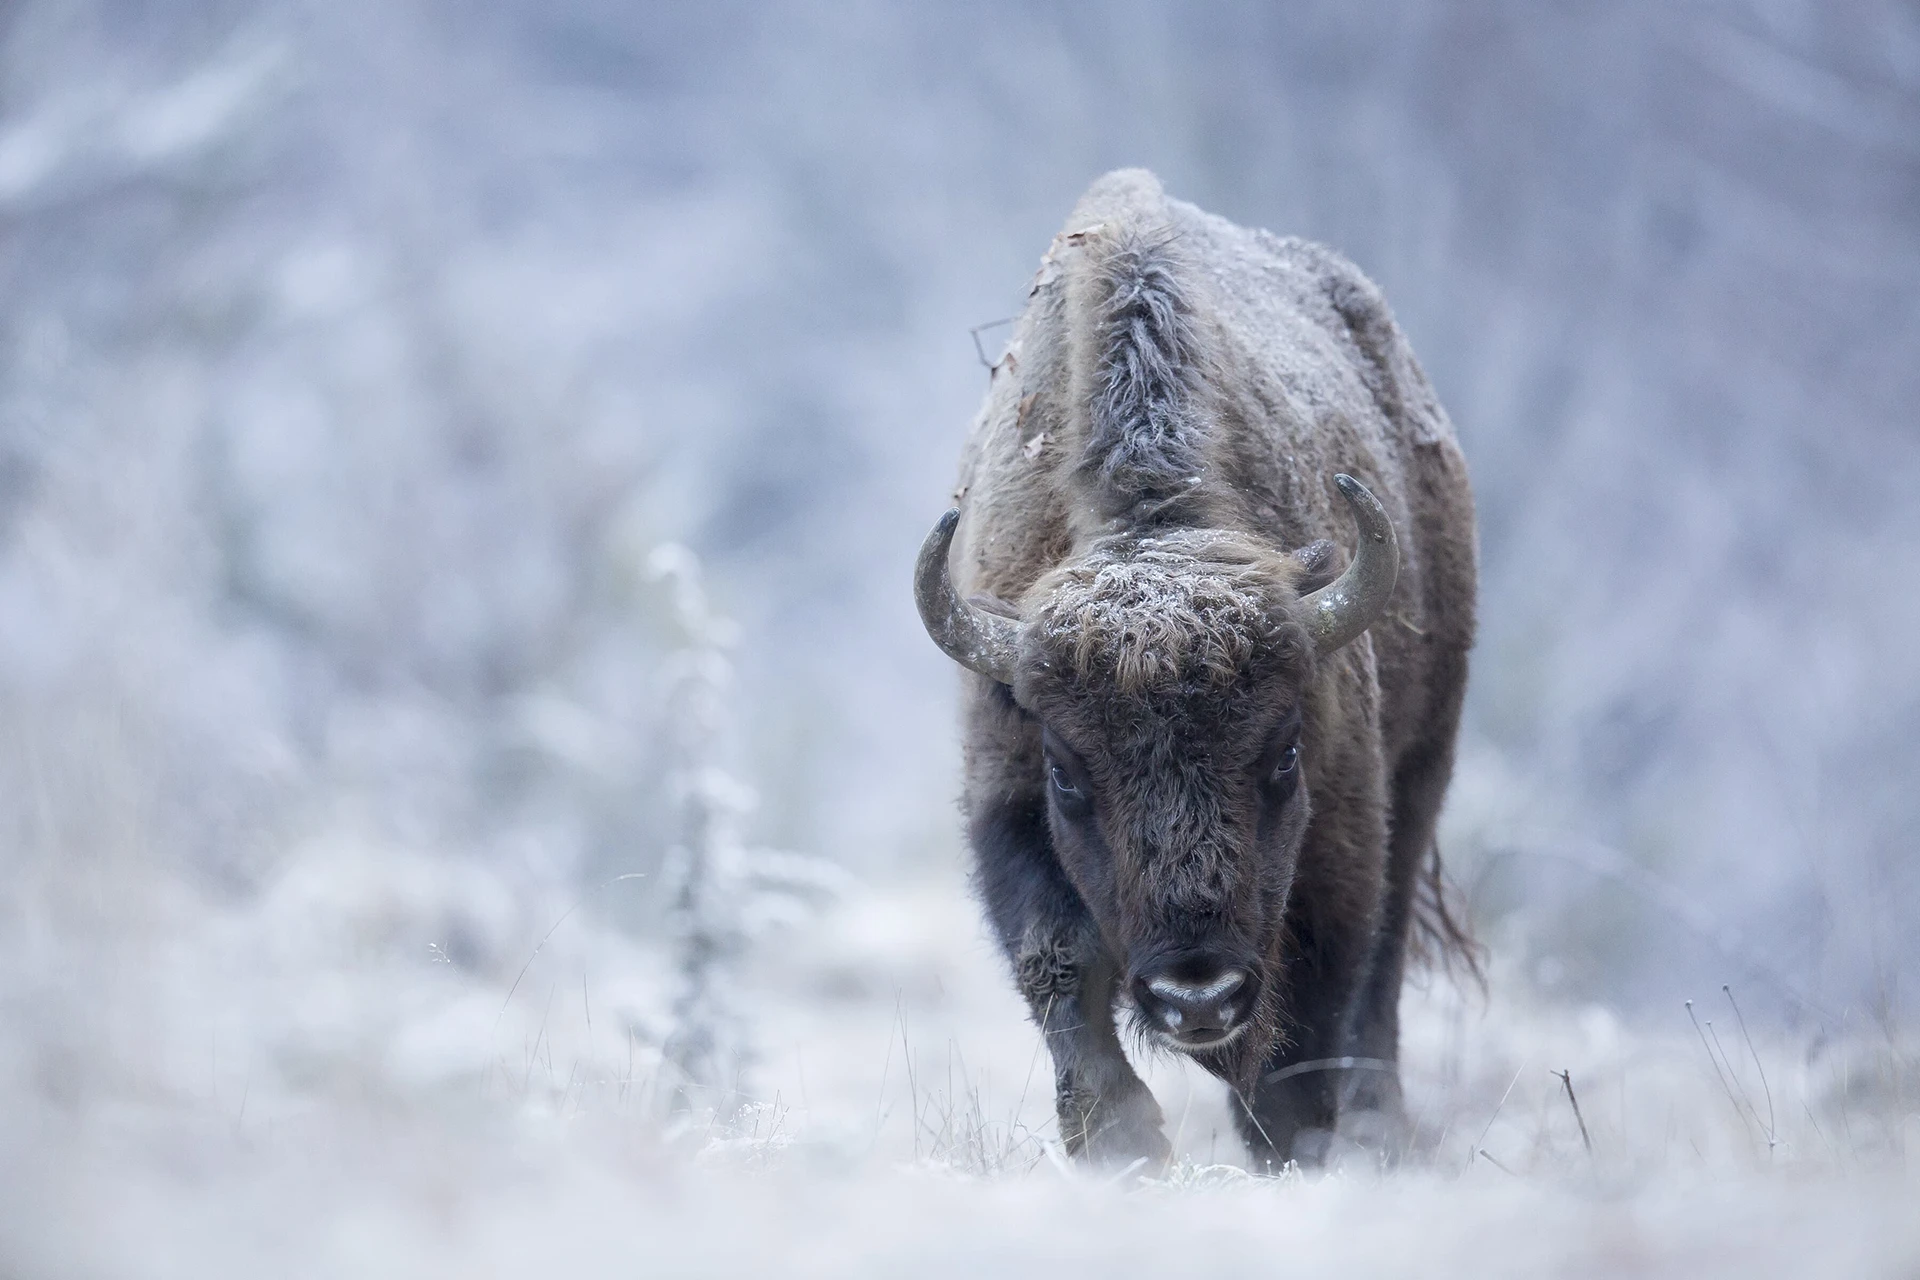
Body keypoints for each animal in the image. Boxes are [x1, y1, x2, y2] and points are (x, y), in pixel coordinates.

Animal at [914, 170, 1478, 1169]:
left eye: (1282, 754)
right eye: (1067, 775)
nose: (1197, 996)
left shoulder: (1345, 827)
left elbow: (1313, 1019)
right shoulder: (1005, 792)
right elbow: (1057, 967)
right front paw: (1121, 1143)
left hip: (1425, 767)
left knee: (1381, 978)